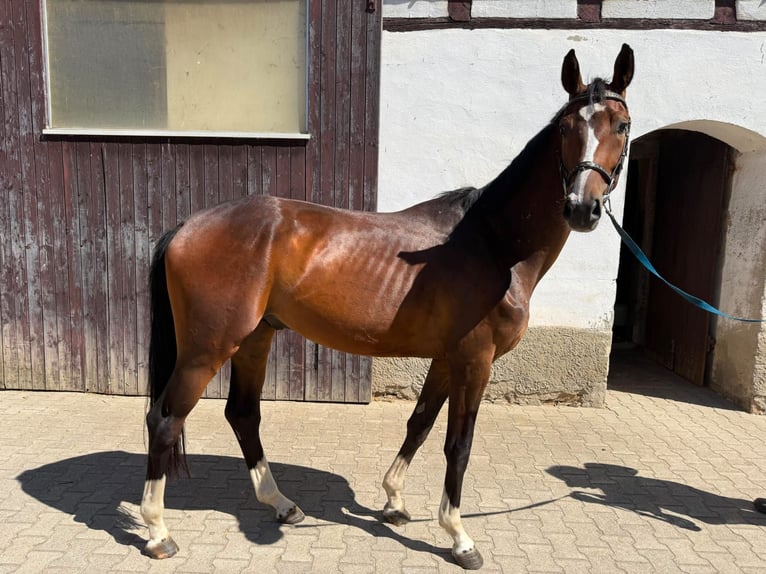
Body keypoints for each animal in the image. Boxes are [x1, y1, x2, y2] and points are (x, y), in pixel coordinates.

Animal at [140, 44, 634, 570]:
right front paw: (459, 537)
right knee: (165, 419)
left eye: (622, 125)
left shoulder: (447, 359)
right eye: (565, 127)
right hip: (207, 349)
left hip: (256, 338)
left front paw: (394, 501)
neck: (493, 243)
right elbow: (459, 445)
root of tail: (188, 225)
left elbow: (419, 425)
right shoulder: (475, 361)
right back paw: (157, 532)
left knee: (242, 415)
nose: (582, 208)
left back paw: (282, 504)